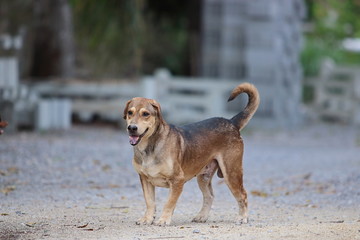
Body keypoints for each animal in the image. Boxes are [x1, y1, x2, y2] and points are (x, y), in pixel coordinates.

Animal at [124, 82, 258, 225]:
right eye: (130, 112)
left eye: (145, 114)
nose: (132, 128)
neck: (149, 147)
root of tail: (231, 122)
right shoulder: (145, 179)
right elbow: (150, 202)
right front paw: (147, 219)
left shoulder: (177, 180)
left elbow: (169, 203)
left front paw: (164, 219)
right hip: (204, 177)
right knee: (209, 196)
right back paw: (202, 216)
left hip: (231, 173)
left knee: (243, 195)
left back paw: (242, 217)